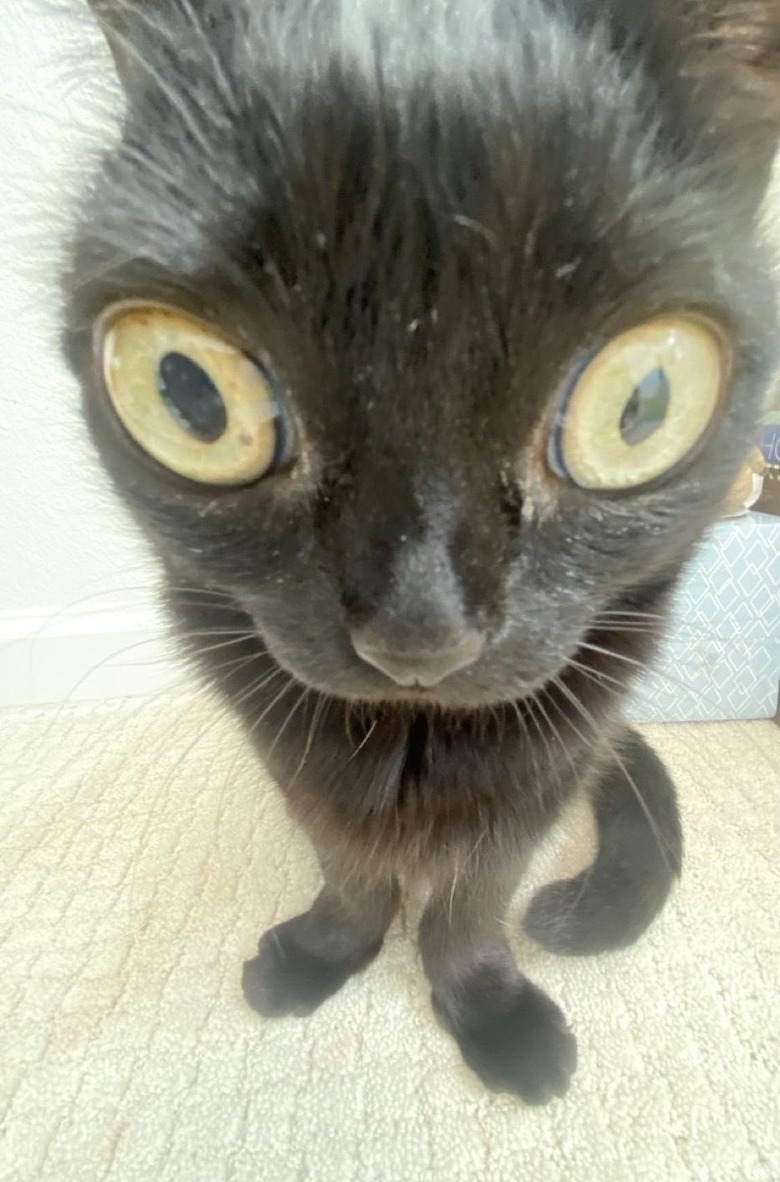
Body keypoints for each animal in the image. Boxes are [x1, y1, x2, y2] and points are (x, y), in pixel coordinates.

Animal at [64, 4, 775, 1101]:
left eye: (642, 406)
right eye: (188, 394)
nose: (420, 631)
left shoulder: (536, 780)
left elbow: (467, 905)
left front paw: (488, 1011)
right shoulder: (295, 762)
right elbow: (352, 869)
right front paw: (326, 954)